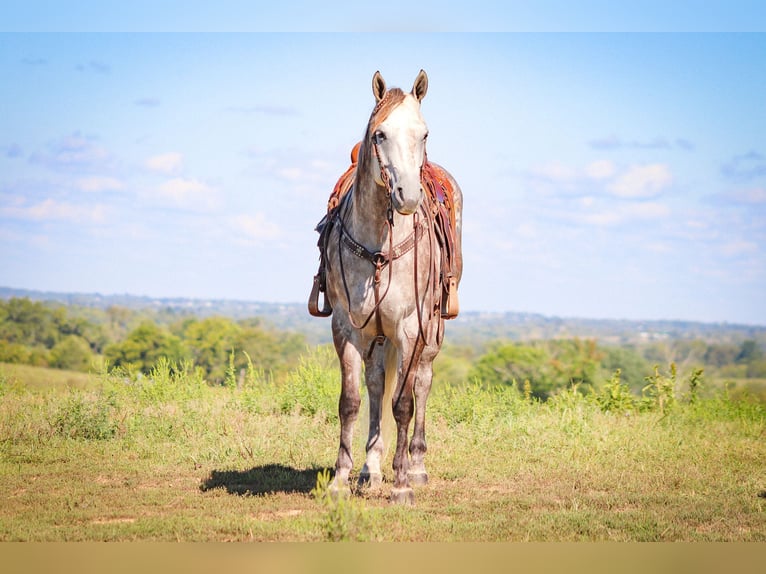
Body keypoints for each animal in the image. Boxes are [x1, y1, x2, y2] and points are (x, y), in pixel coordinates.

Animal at [311, 70, 463, 504]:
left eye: (424, 134)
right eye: (379, 134)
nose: (408, 196)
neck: (379, 240)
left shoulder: (410, 328)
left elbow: (404, 405)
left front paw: (402, 485)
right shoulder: (346, 328)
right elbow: (351, 401)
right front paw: (341, 480)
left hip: (431, 331)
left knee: (423, 383)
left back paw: (416, 467)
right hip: (377, 336)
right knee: (377, 383)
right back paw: (370, 470)